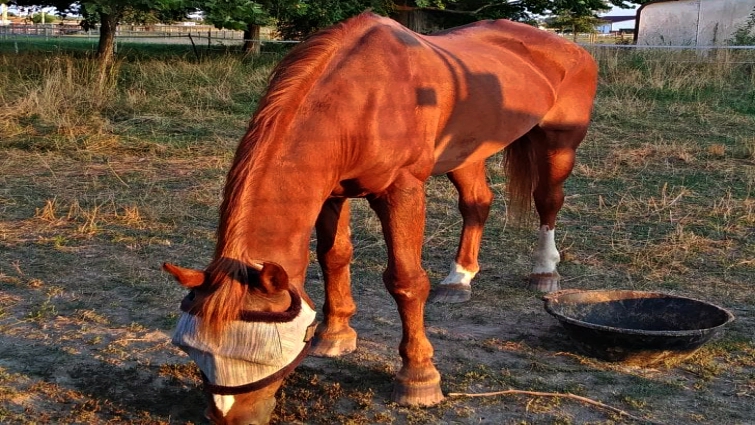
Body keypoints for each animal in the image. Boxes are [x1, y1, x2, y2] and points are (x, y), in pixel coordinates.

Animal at [164, 11, 597, 424]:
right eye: (192, 350)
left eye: (262, 353)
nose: (229, 417)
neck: (364, 95)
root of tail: (569, 48)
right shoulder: (332, 192)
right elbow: (334, 256)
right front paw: (335, 334)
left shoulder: (401, 190)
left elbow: (406, 281)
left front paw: (418, 376)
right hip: (466, 152)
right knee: (477, 203)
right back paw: (459, 279)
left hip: (558, 143)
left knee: (548, 201)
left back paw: (545, 272)